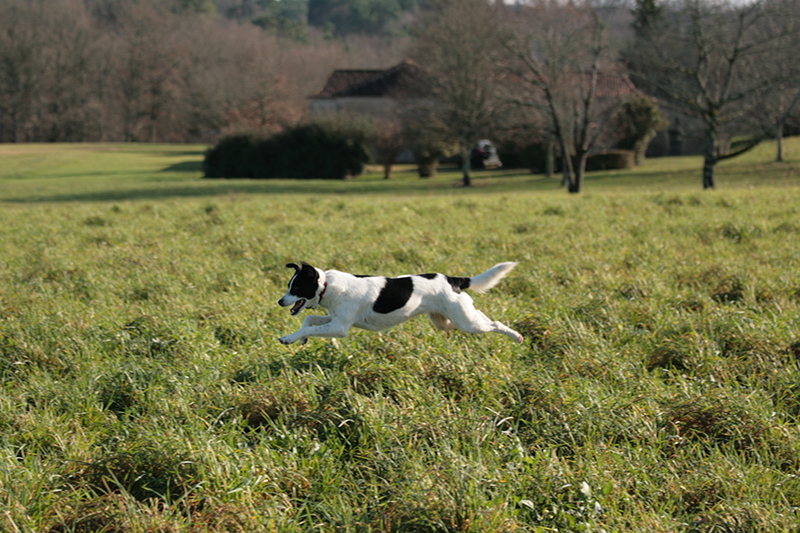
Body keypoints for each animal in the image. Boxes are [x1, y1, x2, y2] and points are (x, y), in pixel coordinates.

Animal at [280, 260, 524, 344]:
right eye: (289, 286)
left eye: (296, 288)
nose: (280, 301)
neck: (327, 285)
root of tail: (453, 279)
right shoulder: (334, 318)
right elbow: (309, 320)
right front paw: (300, 339)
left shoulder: (340, 327)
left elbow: (307, 327)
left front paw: (289, 338)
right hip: (447, 321)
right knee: (481, 317)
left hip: (466, 322)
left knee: (494, 324)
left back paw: (517, 337)